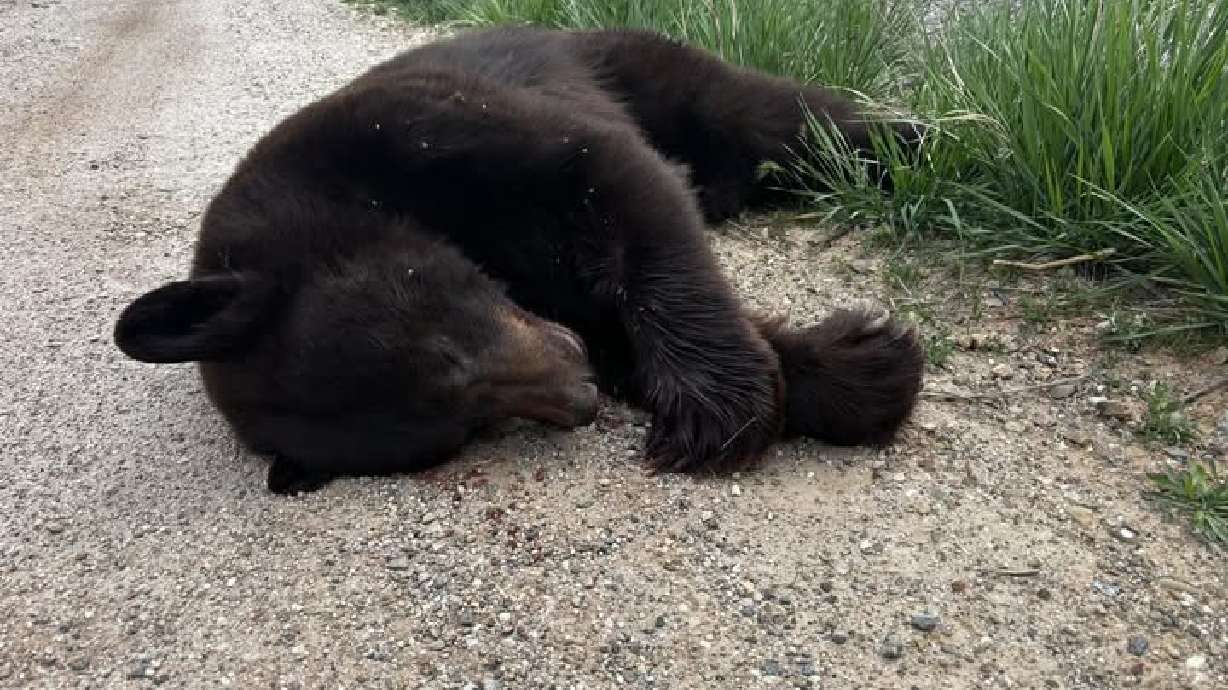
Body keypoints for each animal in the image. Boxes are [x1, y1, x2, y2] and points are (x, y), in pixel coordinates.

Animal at [113, 26, 926, 495]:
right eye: (463, 430)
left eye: (447, 348)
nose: (583, 399)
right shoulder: (548, 304)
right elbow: (614, 317)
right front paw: (858, 368)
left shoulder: (411, 128)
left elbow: (619, 182)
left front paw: (718, 405)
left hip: (631, 65)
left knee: (773, 119)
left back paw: (914, 145)